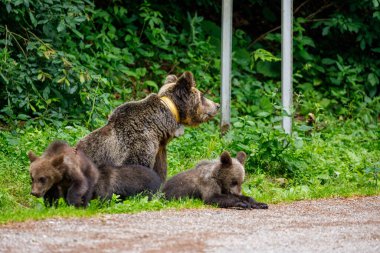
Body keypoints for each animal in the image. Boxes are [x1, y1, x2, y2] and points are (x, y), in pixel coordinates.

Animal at [76, 72, 220, 181]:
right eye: (202, 96)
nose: (217, 105)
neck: (160, 125)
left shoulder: (159, 148)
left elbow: (160, 168)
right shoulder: (138, 142)